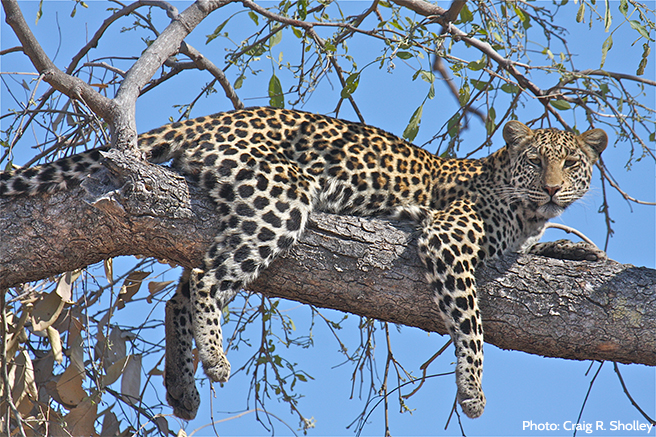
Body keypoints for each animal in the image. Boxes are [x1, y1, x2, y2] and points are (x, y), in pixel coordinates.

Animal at [0, 105, 608, 418]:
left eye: (572, 164)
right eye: (537, 161)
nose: (553, 189)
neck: (524, 209)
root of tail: (206, 119)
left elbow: (542, 251)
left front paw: (577, 249)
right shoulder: (447, 237)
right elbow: (473, 324)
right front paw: (474, 392)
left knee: (183, 290)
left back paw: (182, 386)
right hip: (282, 197)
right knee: (203, 279)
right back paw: (214, 362)